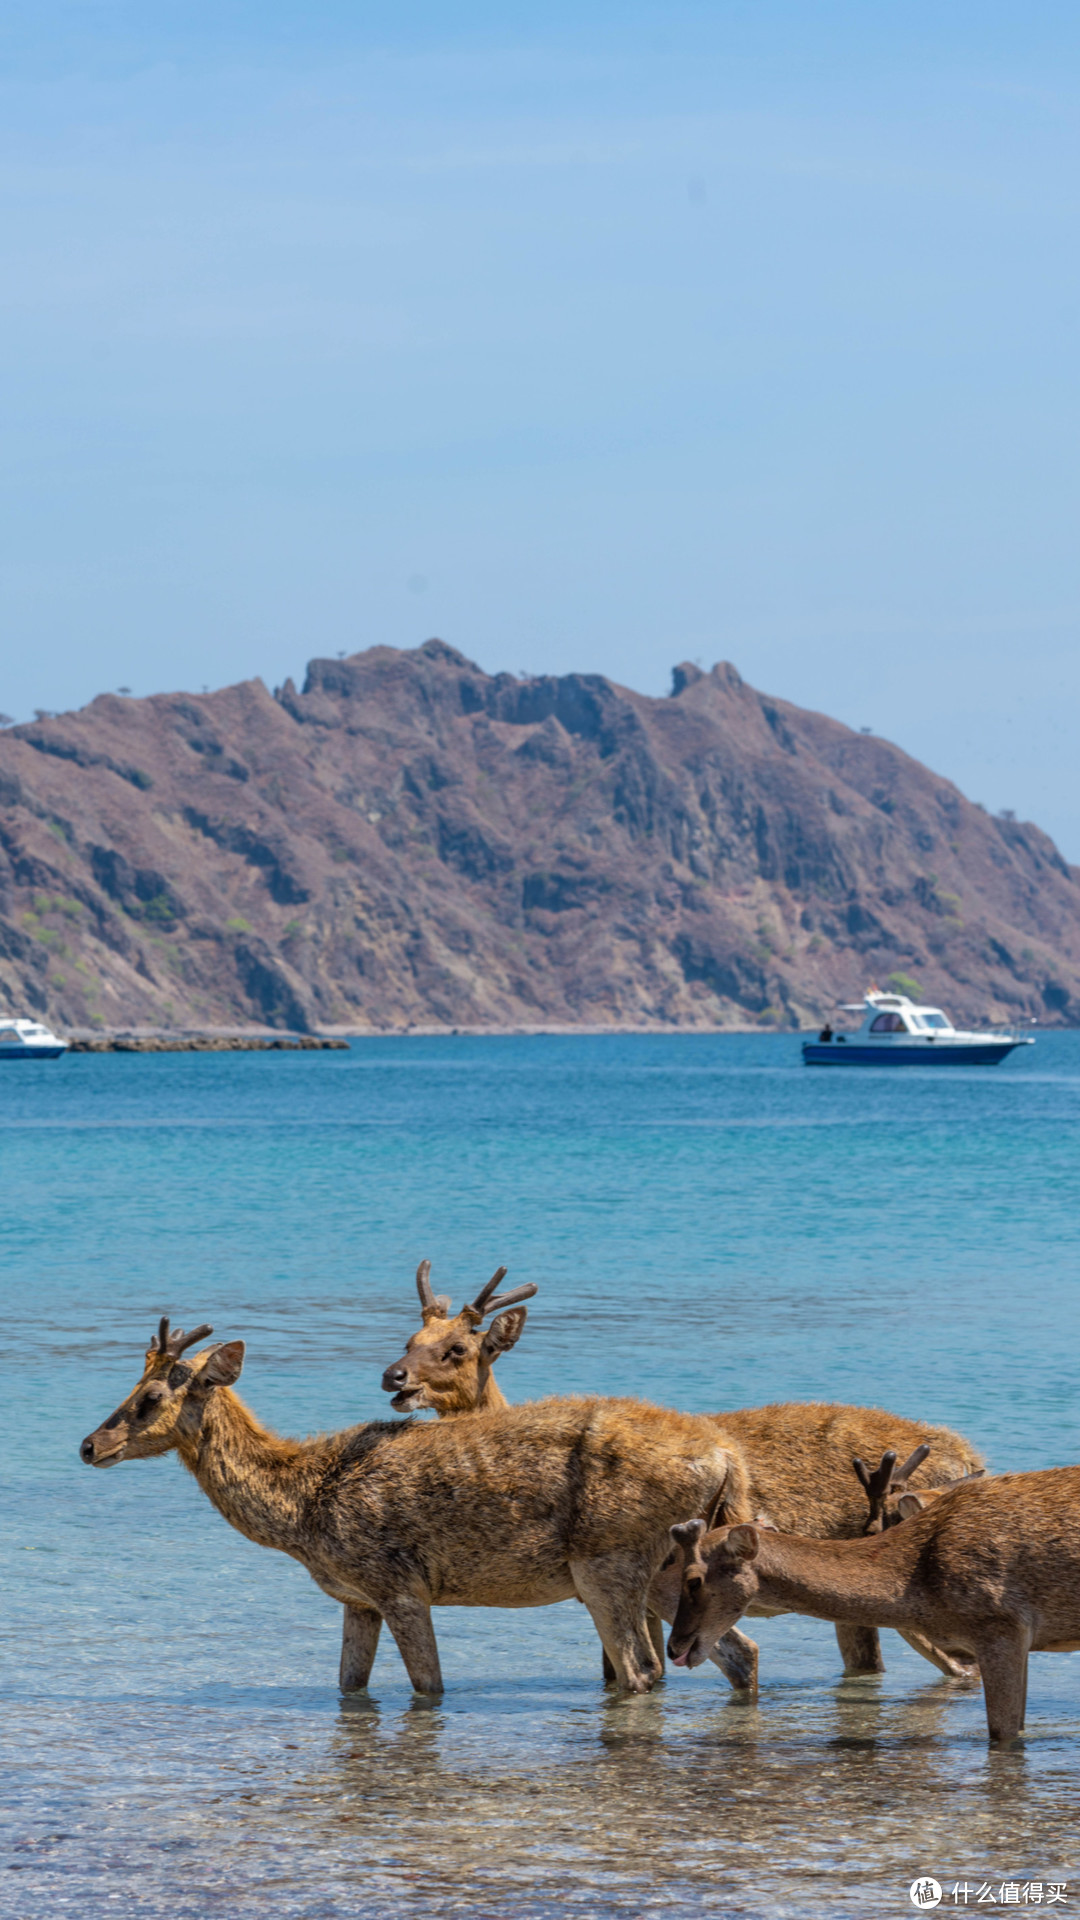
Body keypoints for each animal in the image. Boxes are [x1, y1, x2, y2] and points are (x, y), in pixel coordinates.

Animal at [79, 1320, 745, 1697]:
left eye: (150, 1396)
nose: (89, 1445)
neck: (302, 1512)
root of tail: (726, 1457)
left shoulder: (398, 1584)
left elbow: (430, 1688)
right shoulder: (357, 1599)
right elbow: (349, 1688)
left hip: (608, 1558)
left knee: (643, 1673)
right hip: (669, 1567)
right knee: (729, 1654)